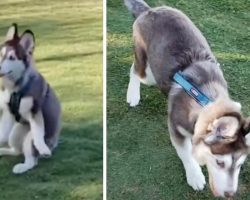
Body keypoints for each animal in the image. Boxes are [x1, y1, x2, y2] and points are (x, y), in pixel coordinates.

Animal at [0, 23, 61, 173]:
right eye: (0, 54)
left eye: (12, 57)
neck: (15, 88)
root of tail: (55, 143)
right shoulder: (8, 112)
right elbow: (2, 133)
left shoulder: (35, 110)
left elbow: (38, 133)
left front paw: (43, 149)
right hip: (15, 132)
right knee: (16, 150)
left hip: (29, 138)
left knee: (32, 159)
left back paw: (23, 167)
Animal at [124, 0, 250, 197]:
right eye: (220, 162)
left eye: (240, 165)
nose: (230, 194)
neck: (203, 98)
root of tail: (150, 10)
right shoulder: (175, 127)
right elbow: (186, 154)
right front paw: (195, 176)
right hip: (148, 72)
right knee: (135, 70)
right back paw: (133, 95)